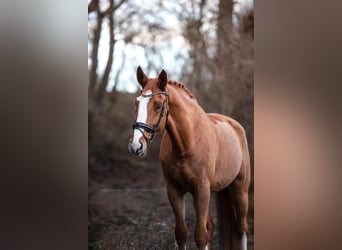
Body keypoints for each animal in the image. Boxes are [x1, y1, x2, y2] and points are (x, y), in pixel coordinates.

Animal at [128, 66, 251, 250]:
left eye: (158, 105)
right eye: (136, 103)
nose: (136, 146)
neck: (187, 143)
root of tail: (235, 126)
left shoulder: (202, 190)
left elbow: (200, 236)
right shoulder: (175, 190)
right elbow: (181, 233)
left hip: (240, 189)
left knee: (241, 228)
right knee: (211, 227)